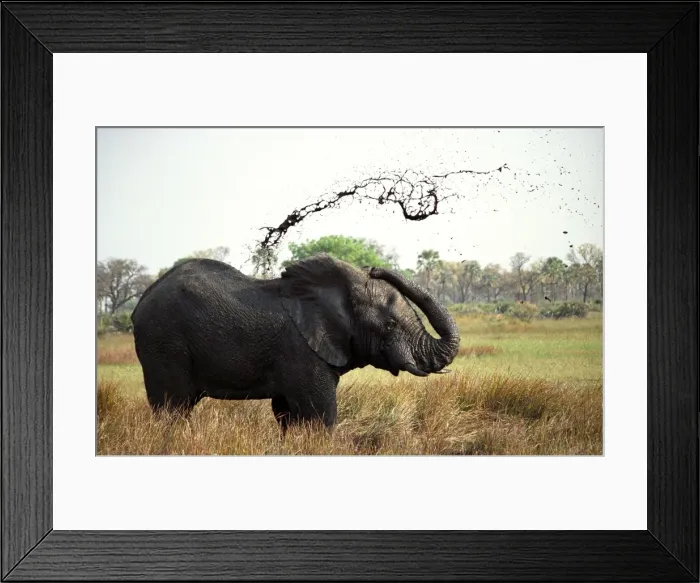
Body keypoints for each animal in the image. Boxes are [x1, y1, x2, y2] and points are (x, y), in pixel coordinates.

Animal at [130, 253, 460, 429]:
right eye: (390, 325)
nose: (373, 268)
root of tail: (142, 300)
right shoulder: (300, 349)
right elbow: (321, 415)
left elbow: (286, 413)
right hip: (163, 341)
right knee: (172, 408)